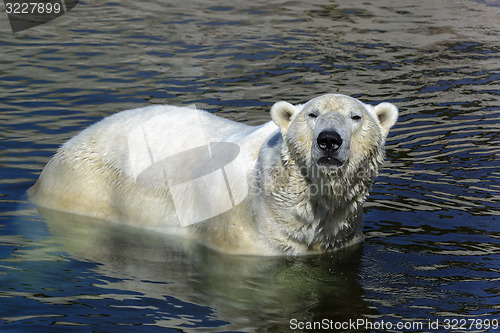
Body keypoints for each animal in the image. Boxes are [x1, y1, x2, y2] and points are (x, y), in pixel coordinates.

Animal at [30, 93, 398, 254]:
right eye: (312, 114)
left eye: (356, 117)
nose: (329, 141)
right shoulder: (242, 233)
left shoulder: (344, 236)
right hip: (87, 188)